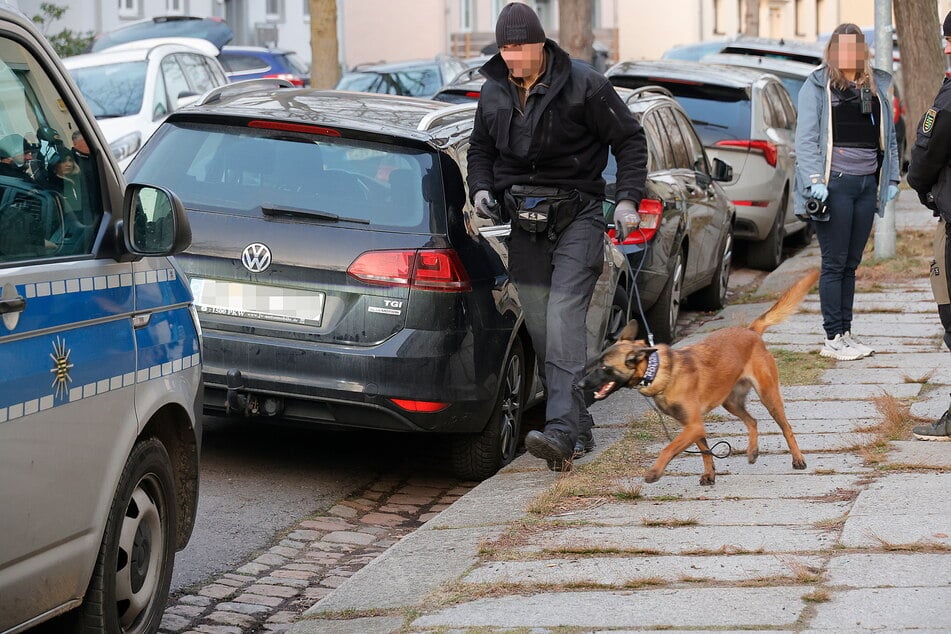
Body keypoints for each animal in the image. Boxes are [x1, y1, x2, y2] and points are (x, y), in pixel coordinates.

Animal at [576, 268, 820, 484]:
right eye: (598, 363)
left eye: (604, 368)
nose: (579, 384)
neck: (659, 371)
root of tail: (751, 331)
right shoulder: (694, 426)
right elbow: (705, 451)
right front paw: (709, 475)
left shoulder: (693, 426)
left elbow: (668, 448)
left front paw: (655, 472)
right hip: (731, 402)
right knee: (753, 421)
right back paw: (752, 451)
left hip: (768, 395)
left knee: (786, 427)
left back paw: (798, 459)